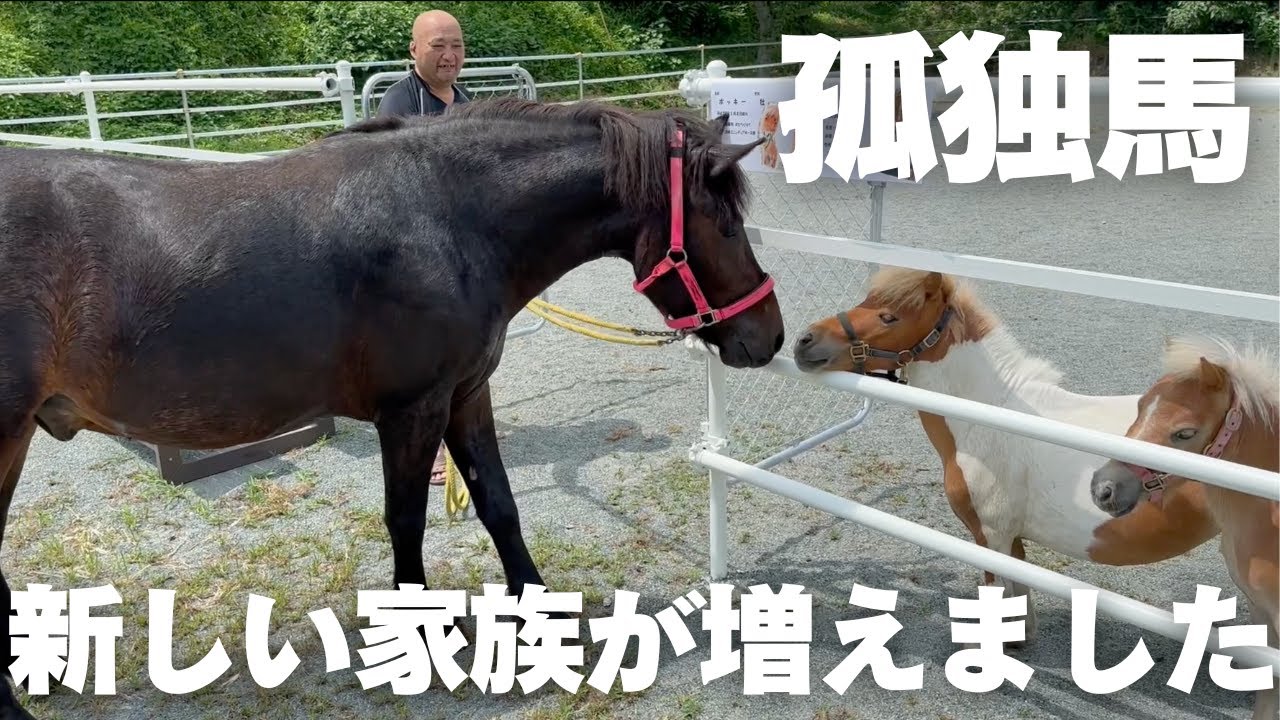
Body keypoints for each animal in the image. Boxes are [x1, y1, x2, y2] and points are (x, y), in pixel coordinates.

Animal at [0, 97, 785, 717]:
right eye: (726, 226)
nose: (768, 336)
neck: (446, 215)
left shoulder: (467, 395)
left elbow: (498, 504)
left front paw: (537, 611)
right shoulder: (414, 409)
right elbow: (405, 520)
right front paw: (417, 634)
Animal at [791, 267, 1219, 646]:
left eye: (889, 316)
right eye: (866, 300)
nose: (804, 341)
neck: (992, 415)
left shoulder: (991, 533)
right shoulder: (1010, 537)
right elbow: (1019, 590)